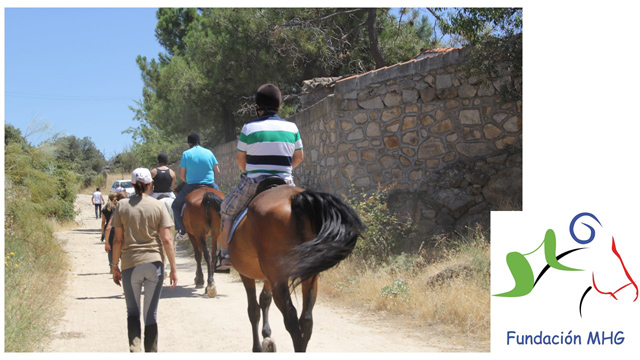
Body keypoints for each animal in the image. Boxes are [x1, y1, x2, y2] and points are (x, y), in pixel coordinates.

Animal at [220, 184, 362, 352]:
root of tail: (294, 198)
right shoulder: (268, 277)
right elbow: (265, 300)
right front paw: (266, 336)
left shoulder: (247, 274)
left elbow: (253, 310)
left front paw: (258, 347)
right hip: (308, 277)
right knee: (306, 319)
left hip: (279, 279)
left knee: (291, 319)